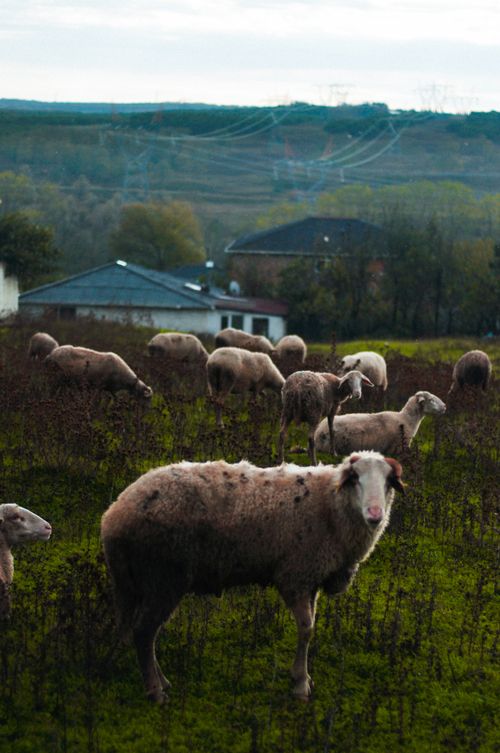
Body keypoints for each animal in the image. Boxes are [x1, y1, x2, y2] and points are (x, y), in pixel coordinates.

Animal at [101, 451, 405, 703]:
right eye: (356, 479)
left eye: (389, 482)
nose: (375, 514)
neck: (329, 505)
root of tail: (113, 516)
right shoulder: (295, 576)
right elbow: (306, 629)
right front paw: (299, 685)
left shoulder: (311, 579)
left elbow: (311, 626)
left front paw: (303, 678)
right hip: (164, 576)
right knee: (143, 632)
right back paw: (155, 691)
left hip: (141, 581)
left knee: (141, 631)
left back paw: (160, 680)